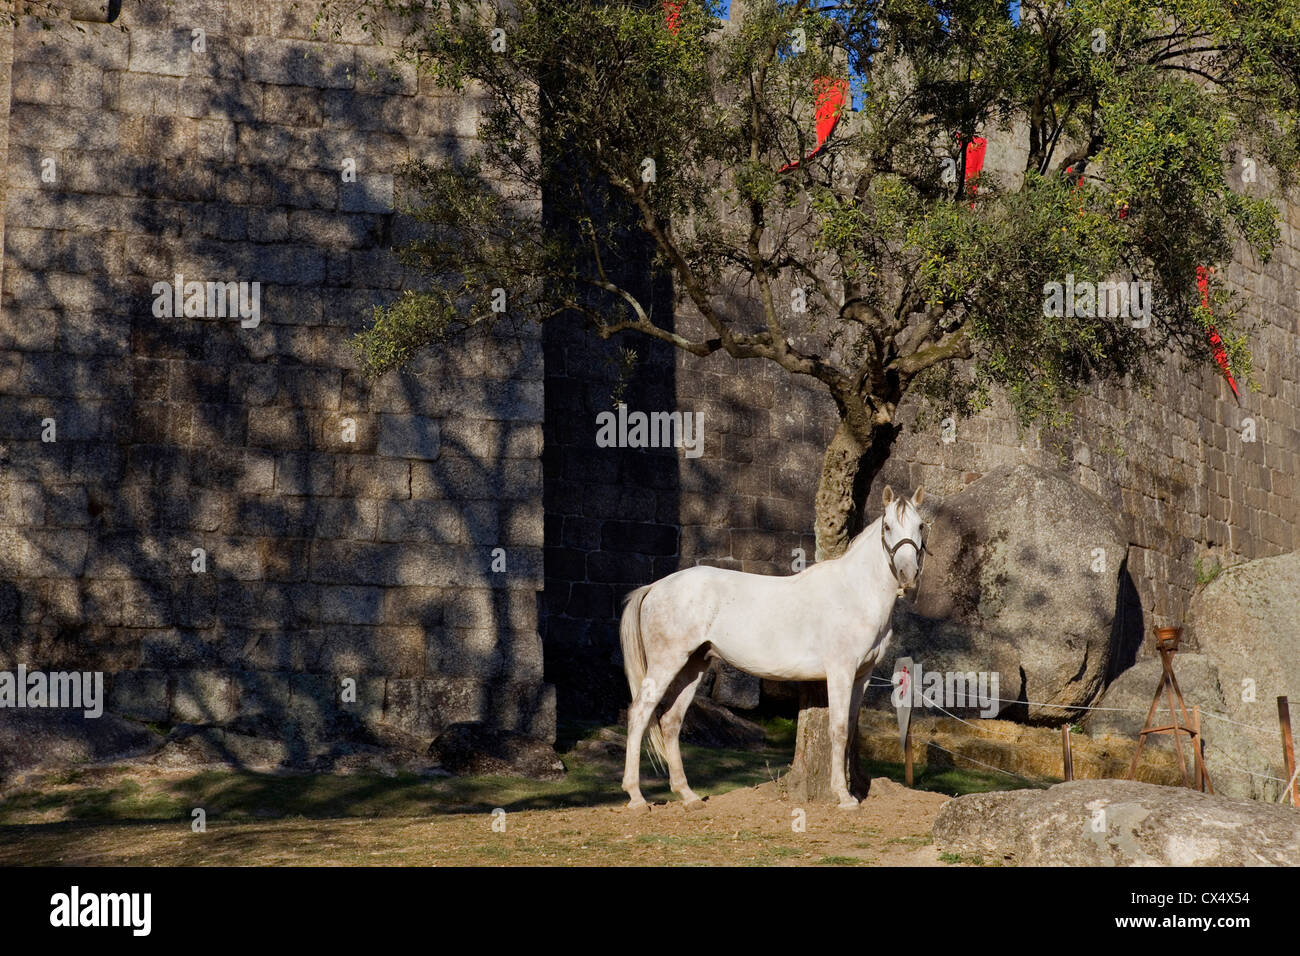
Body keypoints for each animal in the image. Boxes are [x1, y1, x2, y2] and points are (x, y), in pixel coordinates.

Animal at [616, 486, 925, 806]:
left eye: (921, 526)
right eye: (887, 527)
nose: (908, 574)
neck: (854, 592)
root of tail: (655, 587)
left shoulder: (862, 675)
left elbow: (850, 732)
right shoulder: (841, 671)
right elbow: (838, 730)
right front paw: (844, 796)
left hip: (693, 666)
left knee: (671, 721)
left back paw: (688, 795)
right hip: (667, 662)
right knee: (639, 714)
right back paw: (636, 796)